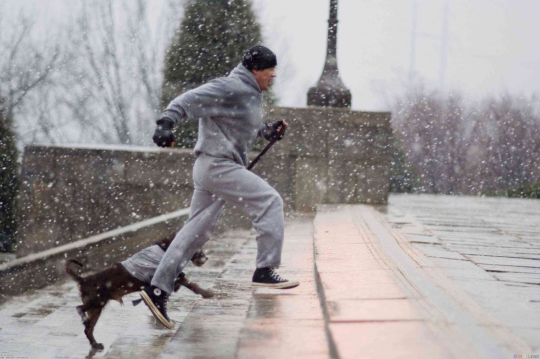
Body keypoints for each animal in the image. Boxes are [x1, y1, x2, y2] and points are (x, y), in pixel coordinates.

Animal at [65, 235, 213, 350]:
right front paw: (207, 293)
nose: (206, 258)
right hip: (97, 302)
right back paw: (85, 323)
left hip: (96, 308)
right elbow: (192, 284)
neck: (167, 248)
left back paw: (95, 345)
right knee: (79, 309)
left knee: (88, 329)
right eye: (198, 248)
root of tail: (83, 280)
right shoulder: (172, 276)